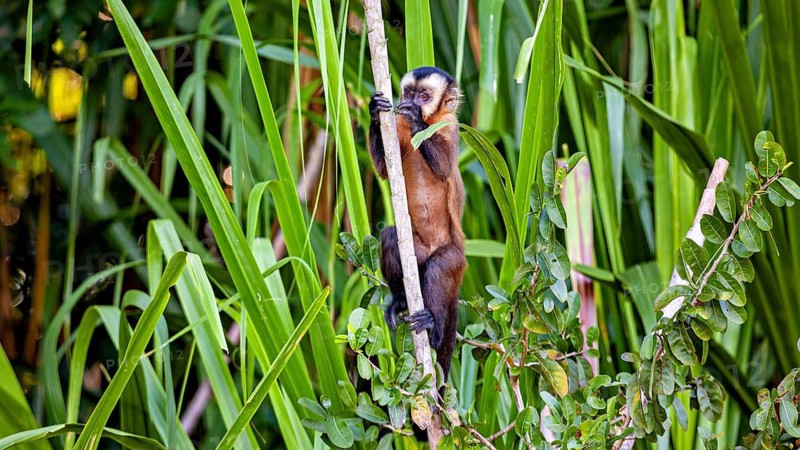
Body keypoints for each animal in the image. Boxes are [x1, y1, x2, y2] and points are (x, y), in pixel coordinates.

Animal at [368, 67, 466, 378]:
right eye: (410, 93)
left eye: (425, 96)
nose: (413, 102)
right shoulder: (396, 125)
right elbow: (384, 170)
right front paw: (374, 111)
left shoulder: (450, 124)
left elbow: (444, 167)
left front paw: (417, 120)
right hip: (416, 252)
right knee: (391, 237)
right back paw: (400, 299)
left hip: (456, 259)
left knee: (439, 268)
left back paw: (433, 328)